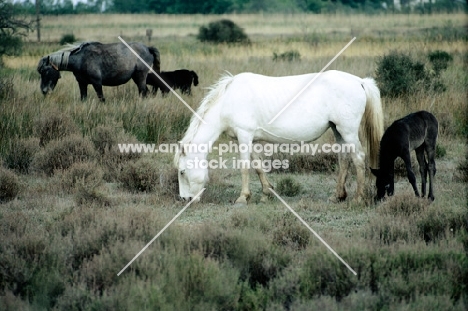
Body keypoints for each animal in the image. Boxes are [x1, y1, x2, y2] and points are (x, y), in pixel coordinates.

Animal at [174, 70, 382, 205]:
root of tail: (359, 81)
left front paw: (242, 197)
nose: (185, 199)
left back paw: (358, 198)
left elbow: (244, 167)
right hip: (338, 131)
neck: (228, 101)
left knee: (358, 159)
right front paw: (267, 192)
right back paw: (338, 196)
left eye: (182, 172)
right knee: (344, 159)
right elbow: (258, 166)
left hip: (348, 131)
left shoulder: (244, 136)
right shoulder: (251, 140)